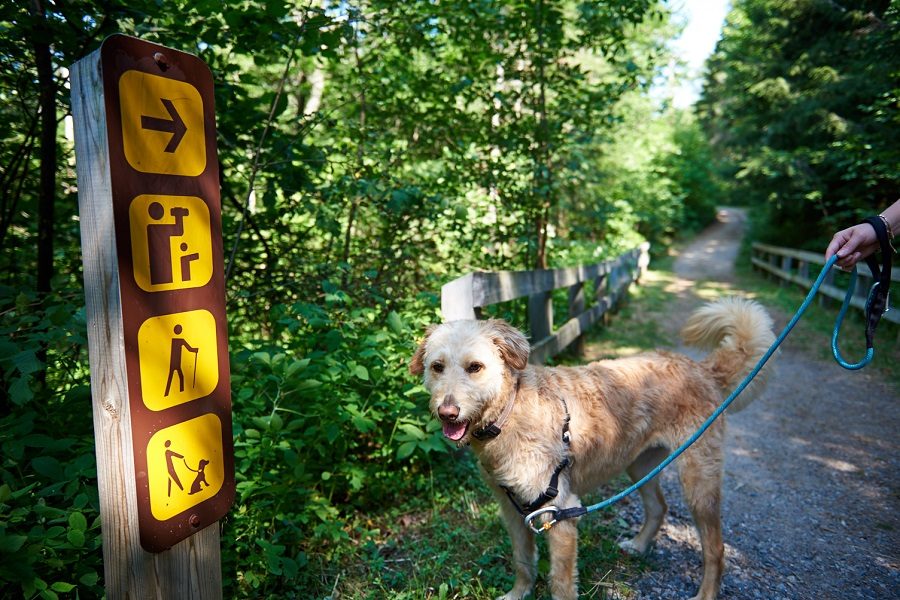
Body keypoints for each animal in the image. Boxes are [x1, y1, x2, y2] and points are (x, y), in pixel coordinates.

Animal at [412, 298, 776, 600]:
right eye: (437, 367)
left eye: (475, 367)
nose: (447, 412)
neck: (511, 411)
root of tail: (703, 369)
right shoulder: (512, 511)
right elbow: (522, 562)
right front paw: (517, 594)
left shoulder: (559, 514)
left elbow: (559, 583)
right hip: (640, 466)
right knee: (658, 507)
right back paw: (639, 545)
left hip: (699, 483)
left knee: (715, 548)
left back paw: (705, 593)